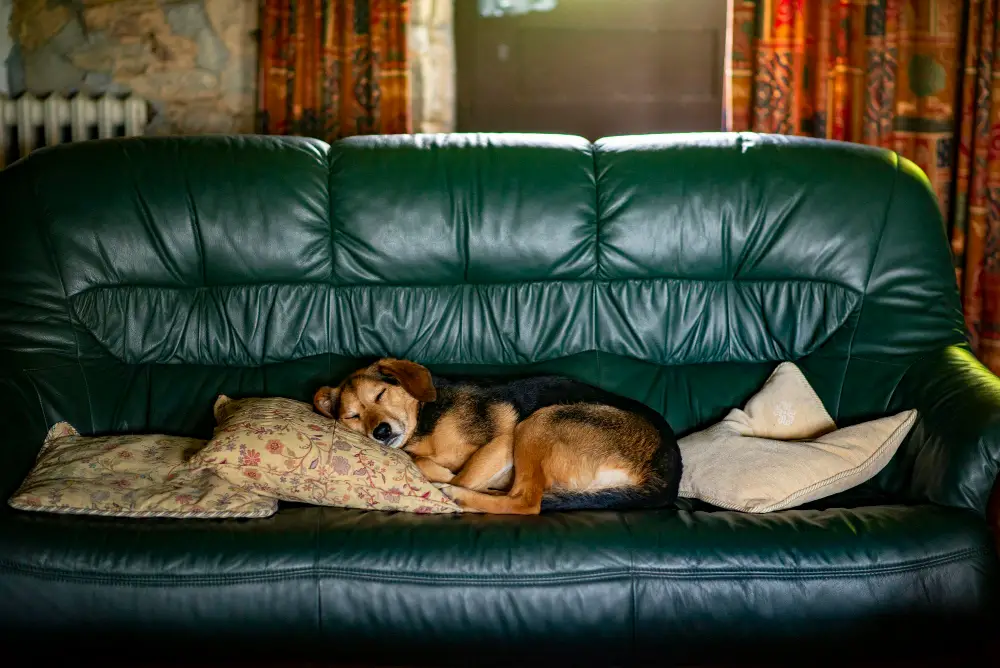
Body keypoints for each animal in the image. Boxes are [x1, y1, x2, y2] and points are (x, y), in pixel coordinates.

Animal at [316, 358, 684, 516]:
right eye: (352, 416)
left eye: (380, 394)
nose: (380, 432)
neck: (425, 423)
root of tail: (667, 475)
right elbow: (422, 461)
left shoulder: (502, 442)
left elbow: (462, 472)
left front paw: (448, 481)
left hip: (539, 422)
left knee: (526, 501)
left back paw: (458, 495)